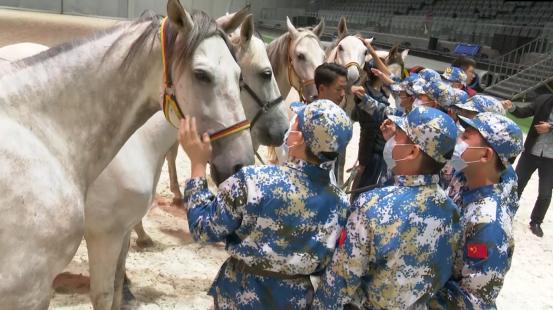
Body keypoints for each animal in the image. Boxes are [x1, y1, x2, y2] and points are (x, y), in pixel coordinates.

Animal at [0, 0, 253, 308]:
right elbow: (105, 293)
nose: (240, 164)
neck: (42, 130)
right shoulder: (92, 244)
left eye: (240, 77)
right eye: (201, 75)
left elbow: (118, 285)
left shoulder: (120, 232)